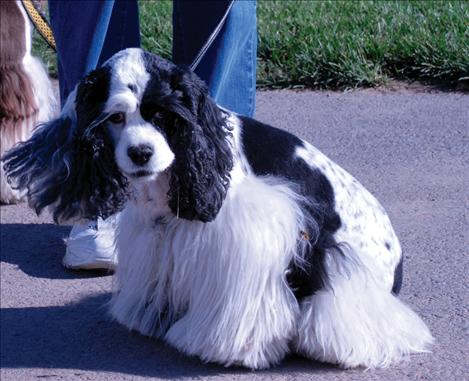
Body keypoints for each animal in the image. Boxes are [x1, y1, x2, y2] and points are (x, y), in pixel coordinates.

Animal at [2, 47, 432, 368]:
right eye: (115, 117)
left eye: (163, 114)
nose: (141, 153)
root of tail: (397, 269)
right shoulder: (159, 234)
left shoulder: (251, 231)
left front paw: (223, 348)